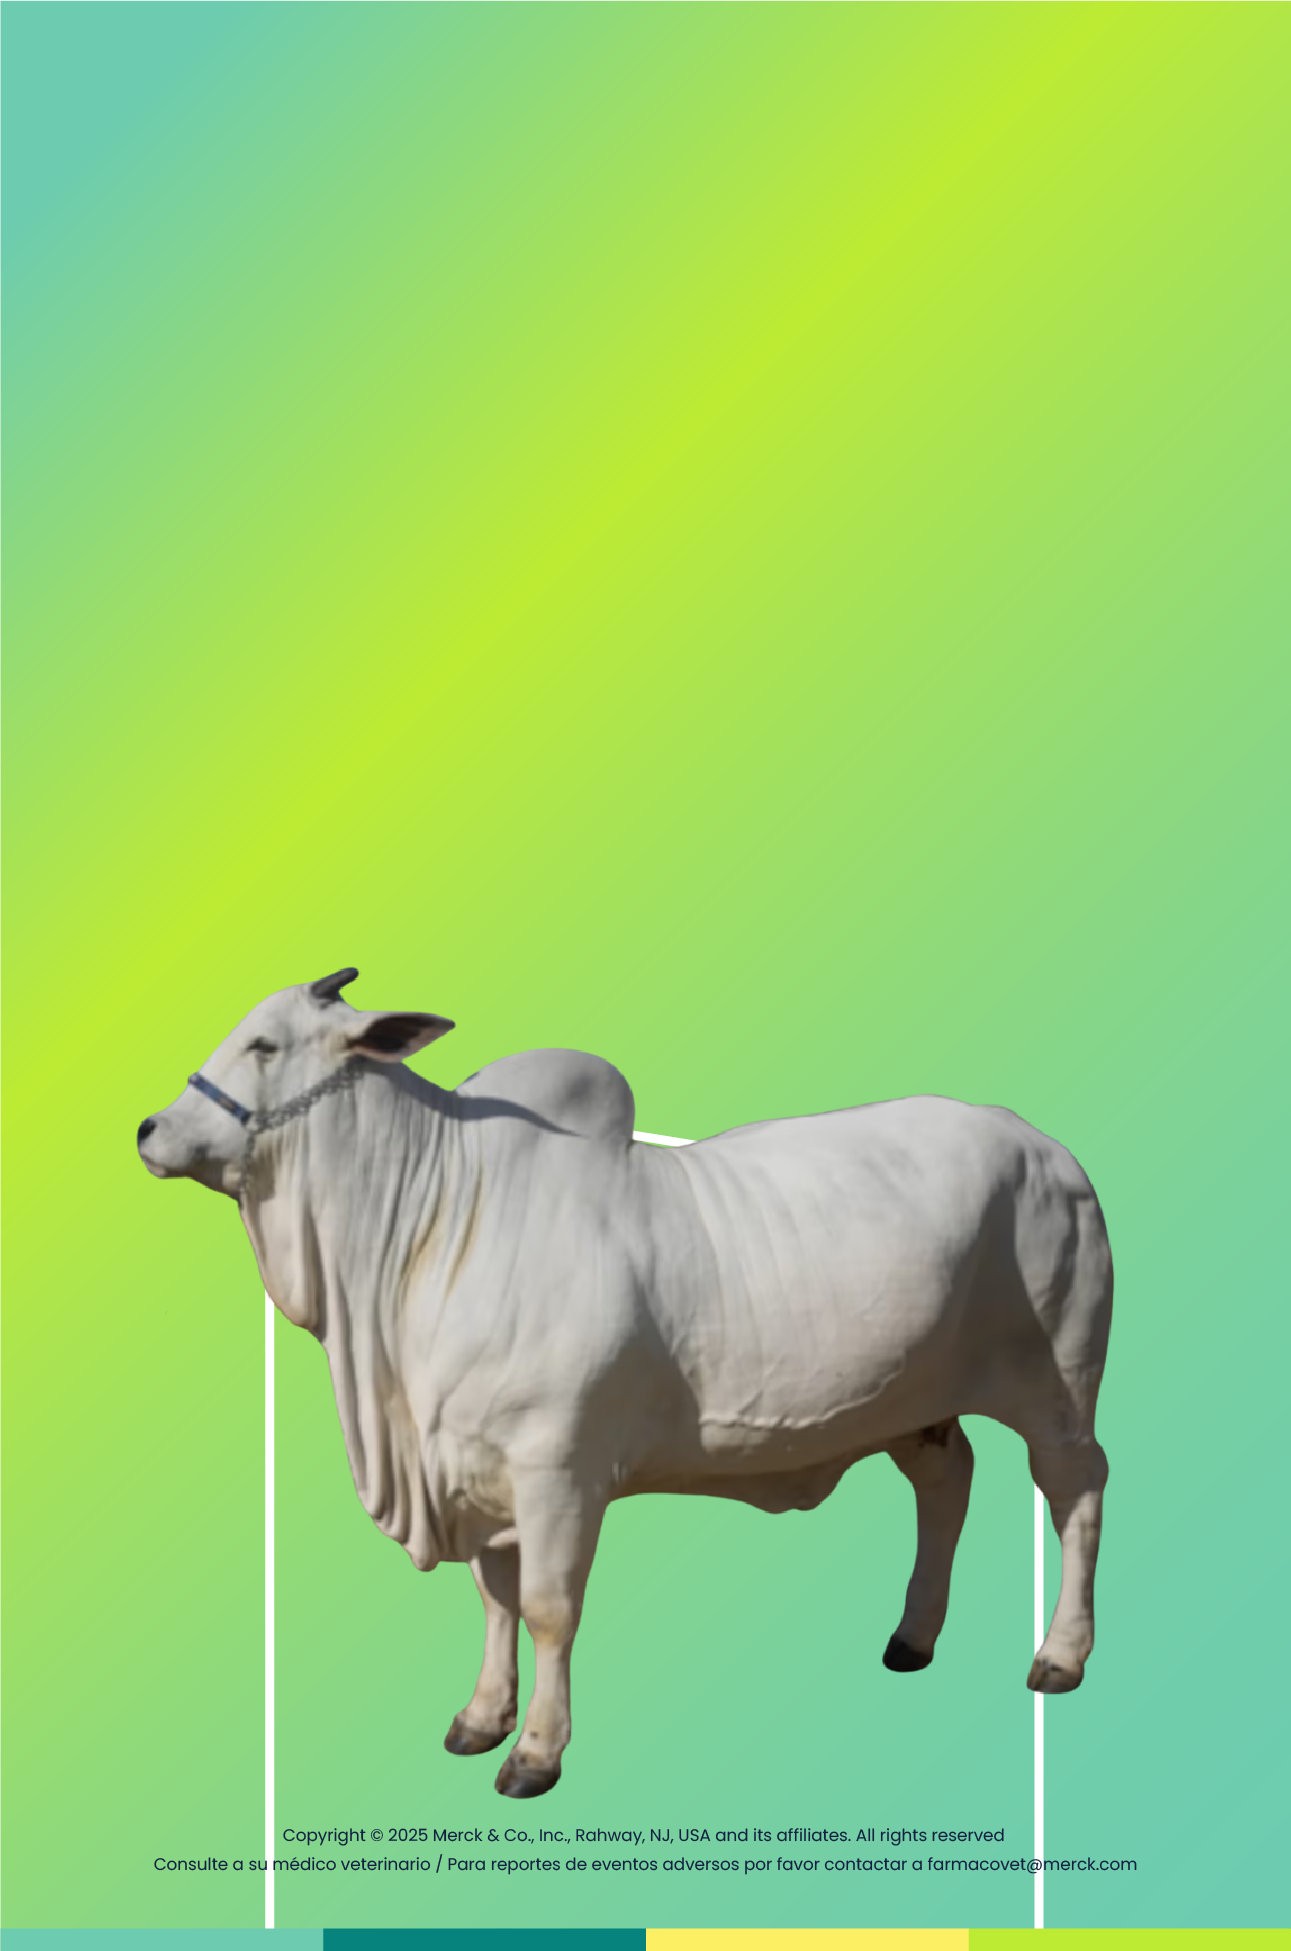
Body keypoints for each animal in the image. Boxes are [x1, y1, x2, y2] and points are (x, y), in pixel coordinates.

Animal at [138, 968, 1112, 1799]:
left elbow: (546, 1607)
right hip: (920, 1402)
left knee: (1075, 1491)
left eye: (265, 1043)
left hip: (1056, 1385)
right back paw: (912, 1636)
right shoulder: (476, 1471)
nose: (148, 1128)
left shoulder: (557, 1469)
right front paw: (480, 1717)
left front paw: (535, 1751)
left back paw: (1059, 1655)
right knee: (947, 1482)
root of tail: (1046, 1146)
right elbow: (493, 1599)